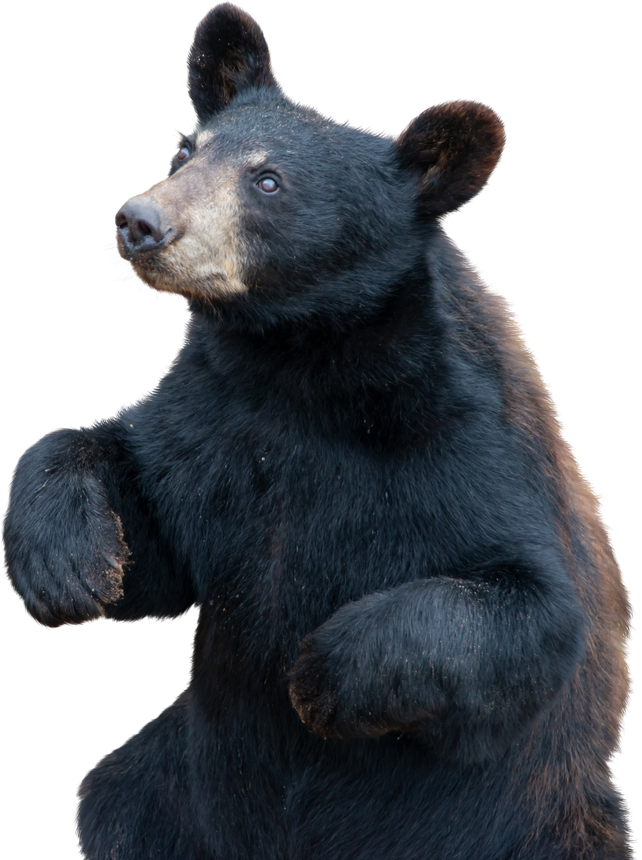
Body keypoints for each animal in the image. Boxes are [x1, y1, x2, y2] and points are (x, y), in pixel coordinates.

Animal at [1, 2, 638, 858]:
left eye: (269, 180)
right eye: (185, 149)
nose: (140, 220)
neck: (302, 368)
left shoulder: (468, 447)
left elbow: (529, 611)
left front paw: (319, 677)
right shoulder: (211, 420)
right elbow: (145, 518)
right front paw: (65, 563)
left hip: (545, 826)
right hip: (175, 790)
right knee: (113, 801)